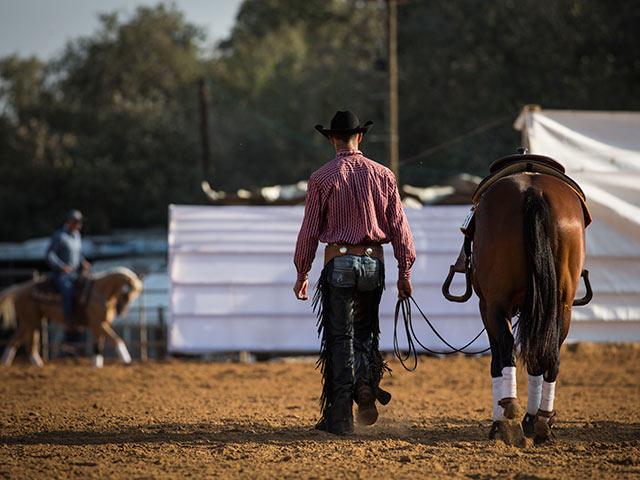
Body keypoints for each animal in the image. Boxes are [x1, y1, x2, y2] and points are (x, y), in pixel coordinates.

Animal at [0, 266, 142, 368]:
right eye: (126, 294)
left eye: (134, 296)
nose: (121, 312)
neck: (99, 292)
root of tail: (19, 289)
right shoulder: (98, 324)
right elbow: (117, 339)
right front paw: (127, 360)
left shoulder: (98, 325)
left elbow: (98, 344)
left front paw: (97, 364)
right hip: (31, 321)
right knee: (29, 342)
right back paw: (37, 363)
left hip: (30, 321)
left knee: (15, 340)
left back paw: (6, 363)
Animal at [444, 152, 592, 444]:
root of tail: (534, 191)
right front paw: (529, 420)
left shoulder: (487, 306)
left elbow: (497, 360)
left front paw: (500, 422)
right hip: (562, 305)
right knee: (551, 355)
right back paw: (543, 421)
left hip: (496, 305)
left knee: (508, 349)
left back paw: (510, 410)